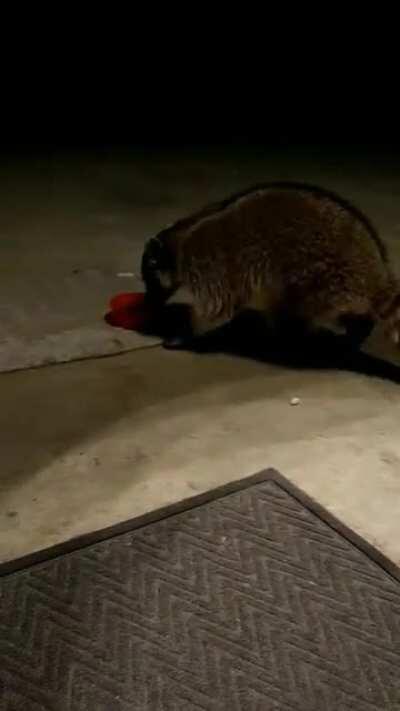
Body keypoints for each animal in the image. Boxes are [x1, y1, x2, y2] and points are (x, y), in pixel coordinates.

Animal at [141, 182, 400, 350]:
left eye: (149, 281)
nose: (147, 304)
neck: (179, 239)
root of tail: (376, 268)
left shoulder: (209, 266)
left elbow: (216, 309)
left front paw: (185, 333)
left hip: (321, 276)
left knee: (292, 312)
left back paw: (286, 337)